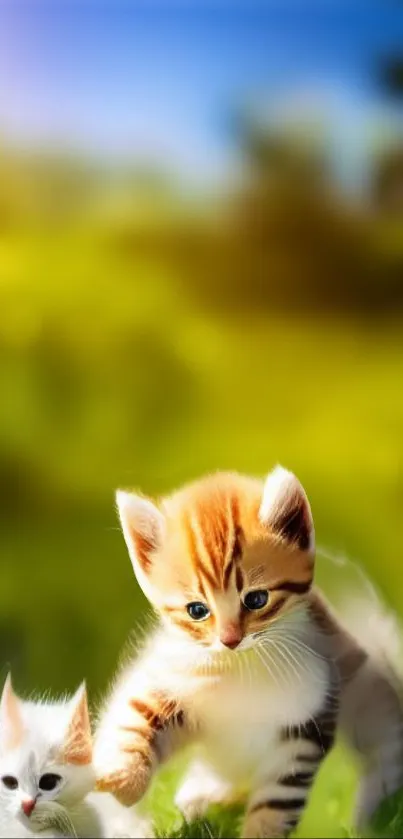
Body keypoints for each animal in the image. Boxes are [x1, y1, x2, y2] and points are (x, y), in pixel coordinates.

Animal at [94, 470, 403, 836]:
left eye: (256, 600)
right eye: (197, 610)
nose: (230, 639)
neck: (239, 664)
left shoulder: (306, 727)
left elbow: (277, 801)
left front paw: (262, 831)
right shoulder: (172, 677)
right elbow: (137, 717)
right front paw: (122, 780)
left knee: (383, 751)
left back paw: (373, 815)